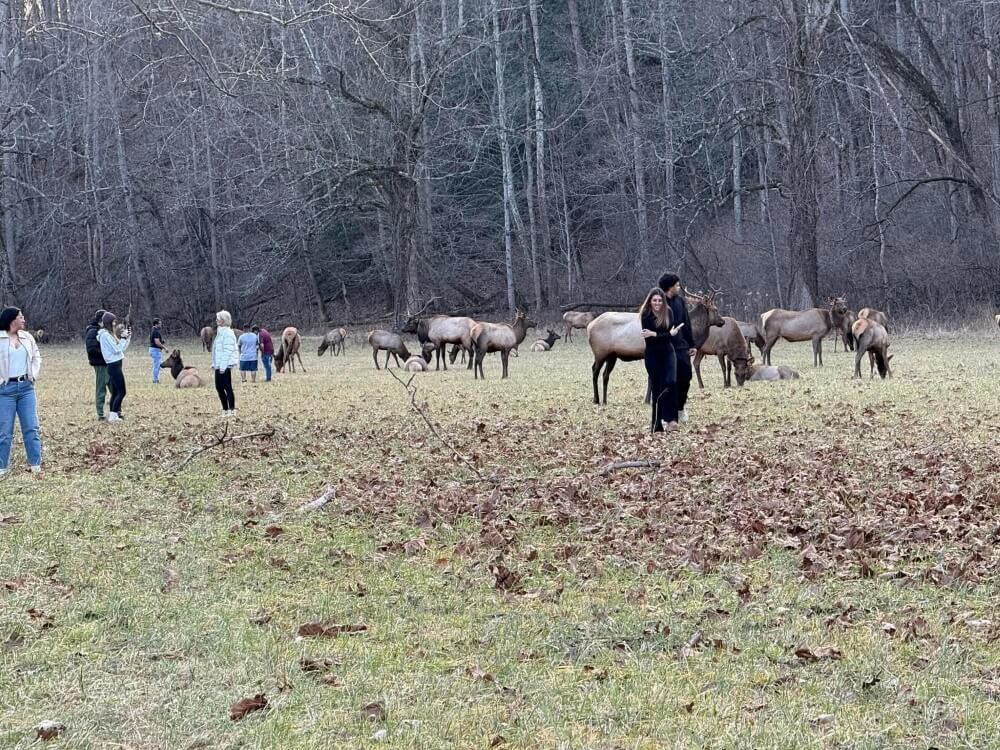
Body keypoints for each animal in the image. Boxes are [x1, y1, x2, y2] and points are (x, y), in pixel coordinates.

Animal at [588, 292, 724, 405]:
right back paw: (596, 399)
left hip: (612, 355)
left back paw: (605, 400)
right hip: (600, 352)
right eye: (716, 309)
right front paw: (648, 400)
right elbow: (654, 377)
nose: (722, 322)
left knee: (605, 374)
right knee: (594, 370)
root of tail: (589, 326)